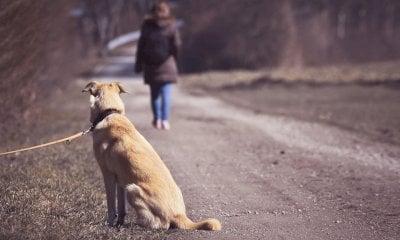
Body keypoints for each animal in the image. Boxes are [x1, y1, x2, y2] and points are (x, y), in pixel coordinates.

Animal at [81, 81, 222, 231]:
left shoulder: (108, 175)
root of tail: (179, 215)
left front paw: (109, 224)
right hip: (128, 186)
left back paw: (139, 224)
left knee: (160, 224)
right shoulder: (120, 180)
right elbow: (121, 208)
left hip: (132, 189)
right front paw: (119, 223)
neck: (110, 112)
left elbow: (111, 206)